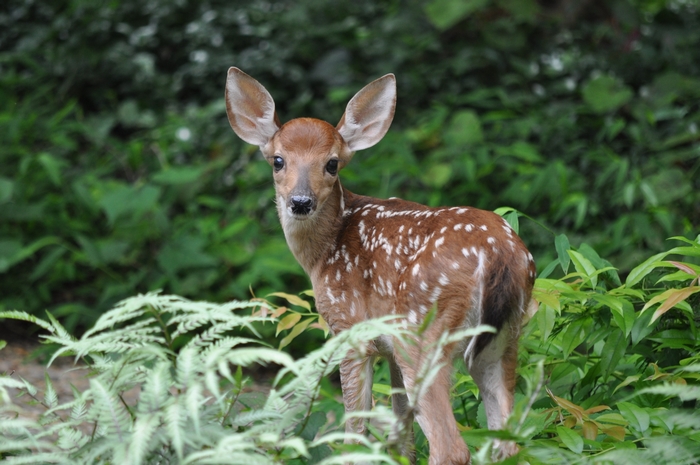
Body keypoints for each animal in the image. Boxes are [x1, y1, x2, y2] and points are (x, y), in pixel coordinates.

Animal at [224, 67, 537, 465]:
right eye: (278, 160)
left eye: (332, 163)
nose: (300, 201)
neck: (324, 252)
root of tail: (501, 255)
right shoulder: (386, 346)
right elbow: (401, 432)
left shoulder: (349, 328)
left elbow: (356, 428)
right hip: (504, 337)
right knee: (508, 440)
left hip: (423, 329)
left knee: (452, 448)